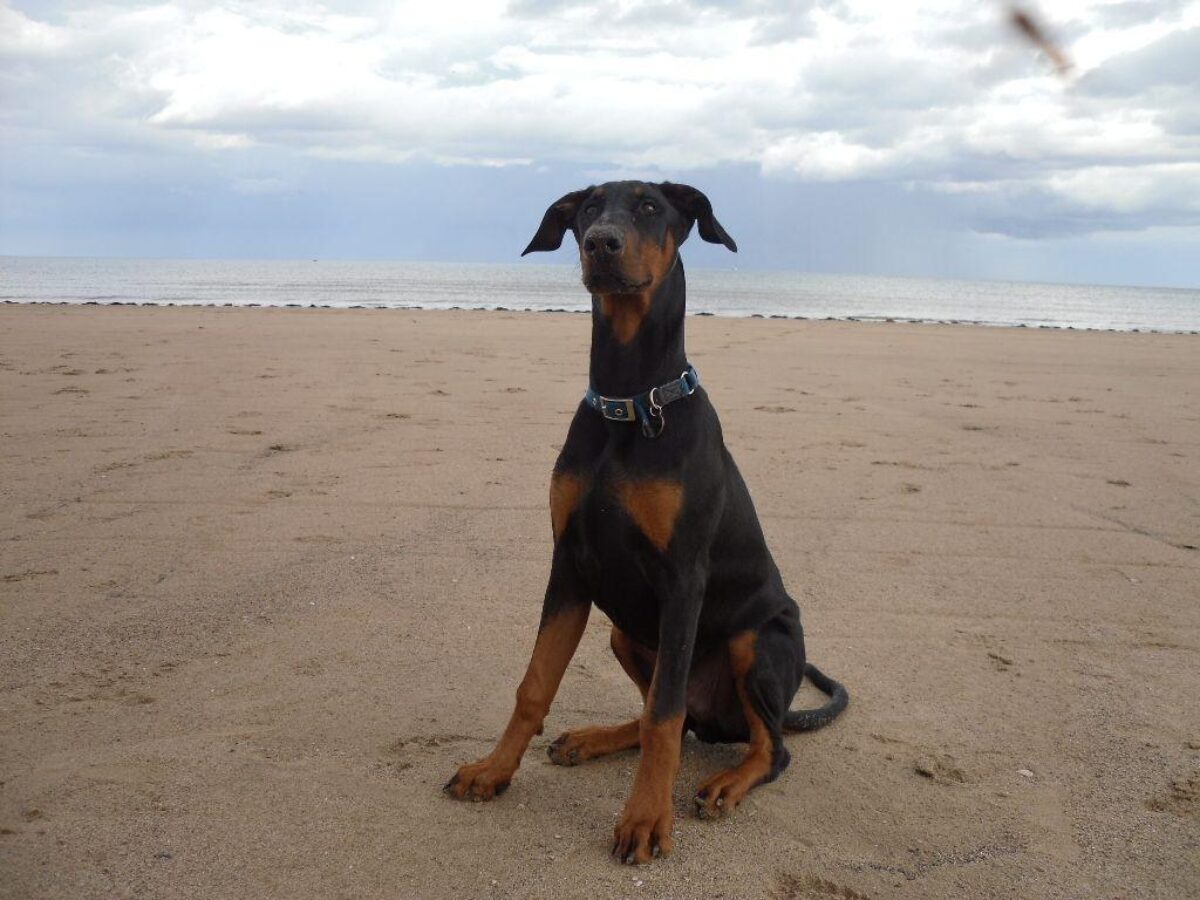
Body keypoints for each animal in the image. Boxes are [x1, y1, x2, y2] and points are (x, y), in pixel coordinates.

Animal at [446, 183, 849, 868]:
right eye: (585, 210)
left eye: (651, 208)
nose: (599, 243)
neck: (629, 403)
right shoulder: (569, 565)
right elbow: (535, 685)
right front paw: (493, 771)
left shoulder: (683, 579)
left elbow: (663, 714)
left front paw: (644, 819)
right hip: (624, 633)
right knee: (684, 721)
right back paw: (592, 739)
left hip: (756, 640)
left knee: (762, 745)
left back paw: (725, 783)